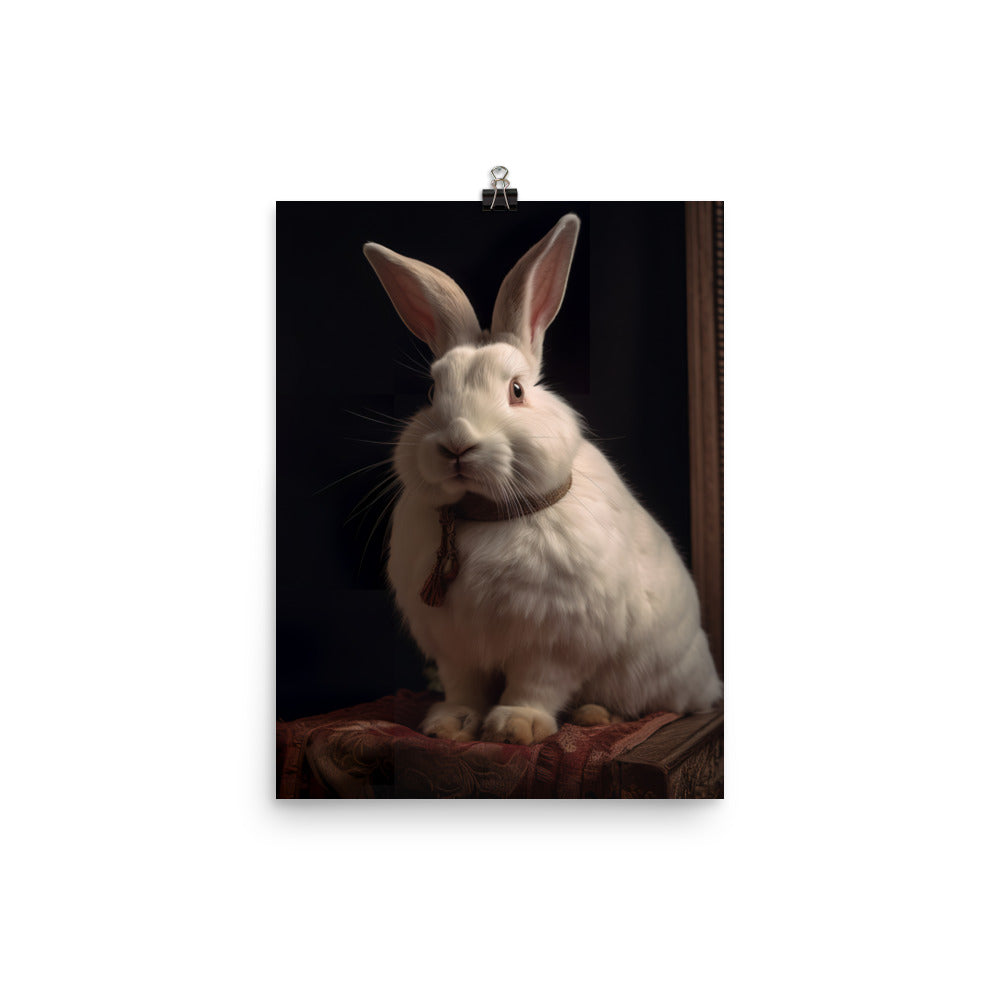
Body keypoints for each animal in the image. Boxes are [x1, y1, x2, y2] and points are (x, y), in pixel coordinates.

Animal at [362, 214, 722, 745]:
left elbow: (537, 684)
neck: (483, 515)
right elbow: (463, 686)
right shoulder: (456, 647)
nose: (456, 444)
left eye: (516, 391)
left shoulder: (555, 641)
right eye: (430, 393)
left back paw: (595, 715)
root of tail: (708, 681)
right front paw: (450, 725)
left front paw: (516, 727)